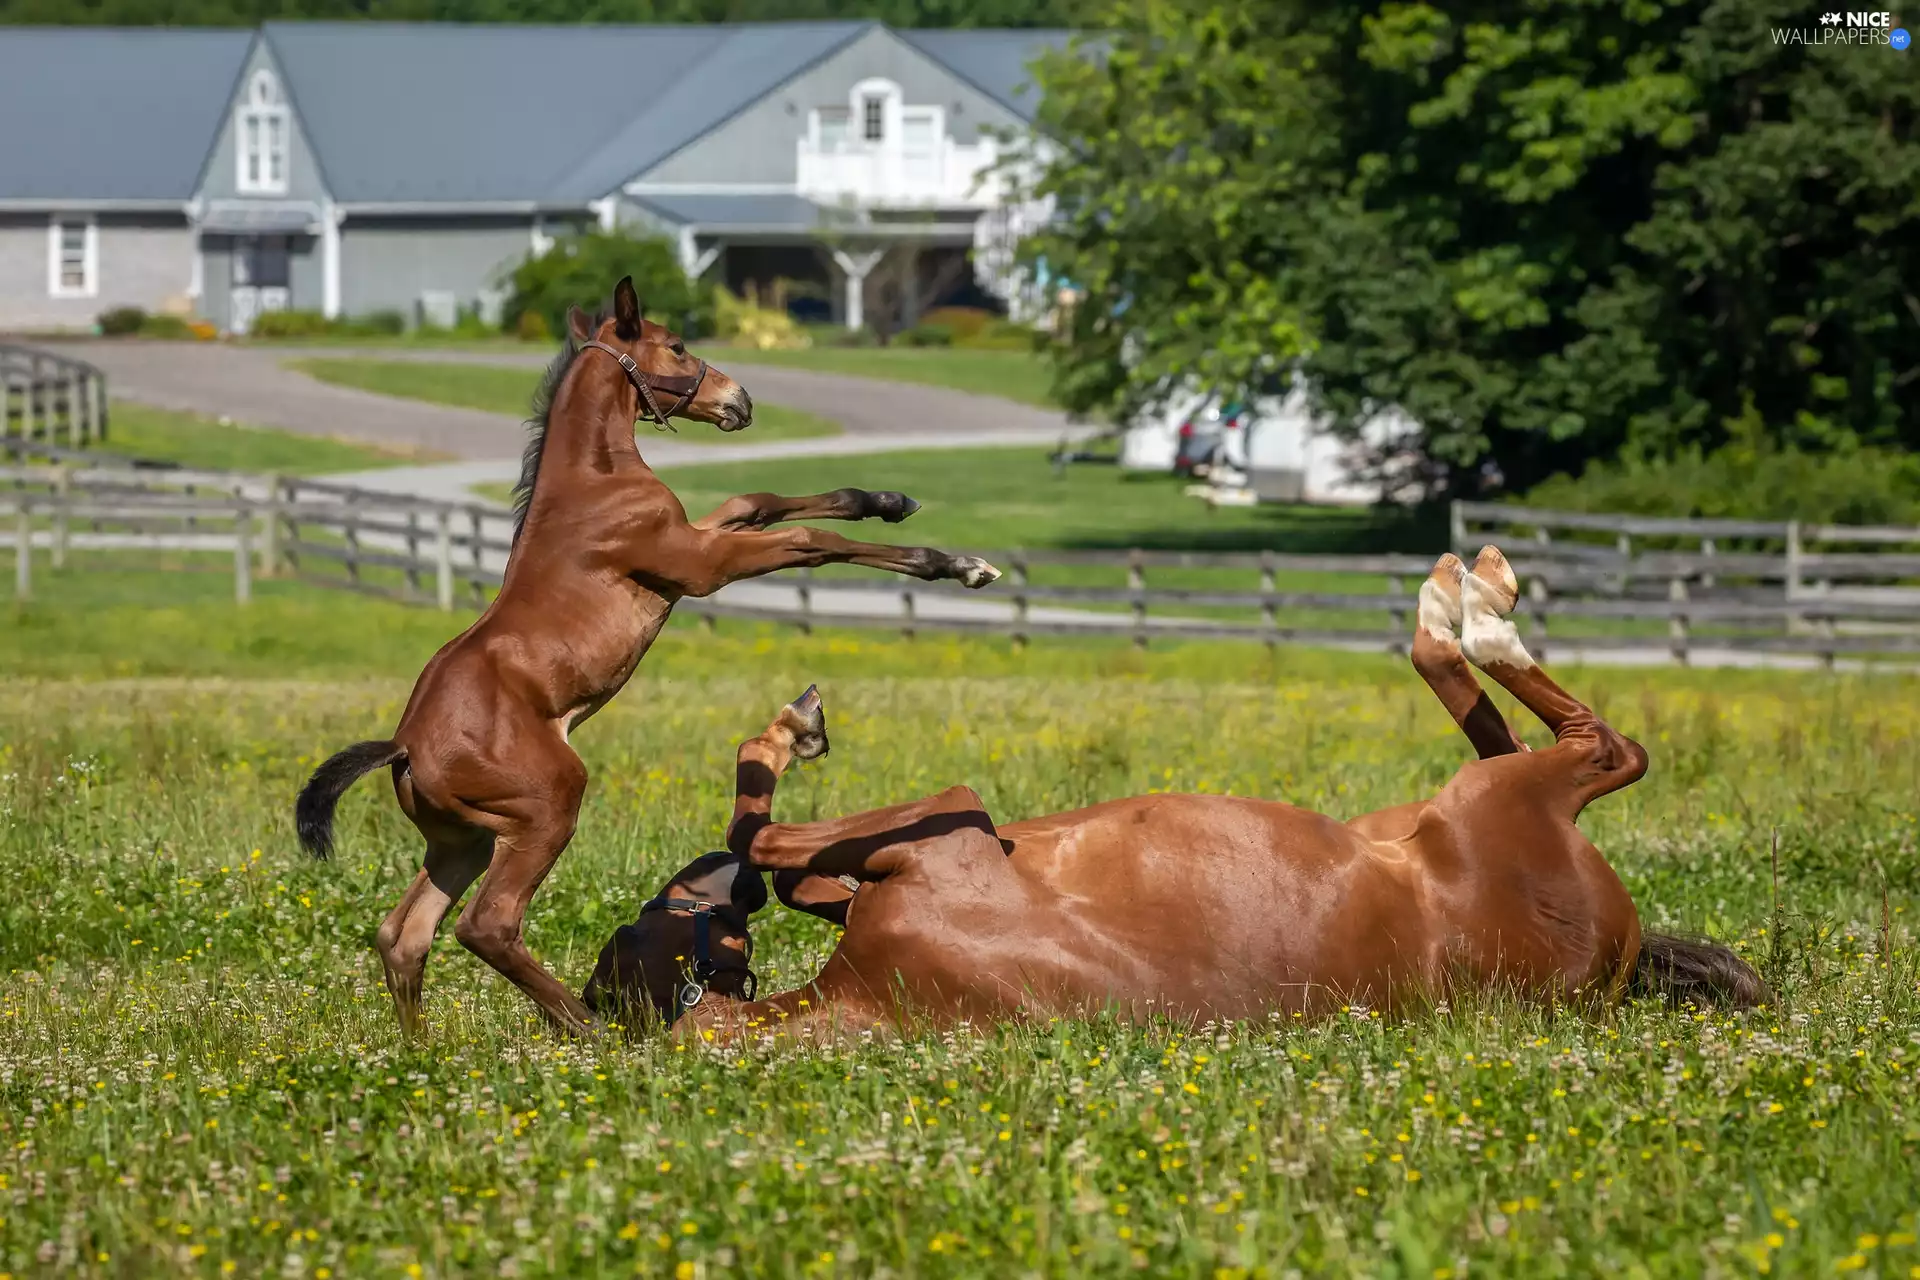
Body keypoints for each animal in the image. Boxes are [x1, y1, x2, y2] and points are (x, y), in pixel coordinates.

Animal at [294, 275, 1003, 1037]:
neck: (594, 483)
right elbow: (812, 540)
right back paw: (590, 1031)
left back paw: (423, 1048)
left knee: (405, 933)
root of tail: (403, 748)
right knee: (487, 924)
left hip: (463, 841)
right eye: (679, 346)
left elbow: (761, 498)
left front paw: (890, 498)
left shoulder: (701, 537)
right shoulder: (701, 564)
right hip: (546, 807)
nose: (740, 400)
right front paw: (957, 565)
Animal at [582, 546, 1768, 1041]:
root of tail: (1615, 962)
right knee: (1595, 744)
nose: (703, 883)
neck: (867, 991)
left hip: (1456, 805)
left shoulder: (921, 841)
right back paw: (1465, 605)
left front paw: (790, 736)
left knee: (1571, 736)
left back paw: (1464, 600)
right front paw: (791, 737)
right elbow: (772, 838)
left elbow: (775, 840)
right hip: (1488, 805)